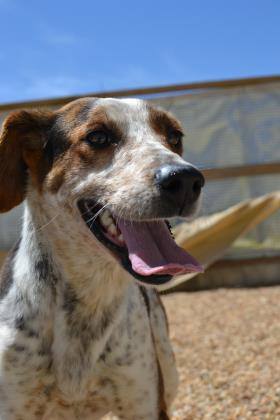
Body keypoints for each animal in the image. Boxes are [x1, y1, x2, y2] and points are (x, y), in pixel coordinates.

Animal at [0, 97, 203, 418]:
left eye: (174, 137)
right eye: (98, 137)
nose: (185, 179)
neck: (91, 294)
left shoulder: (144, 403)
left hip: (168, 372)